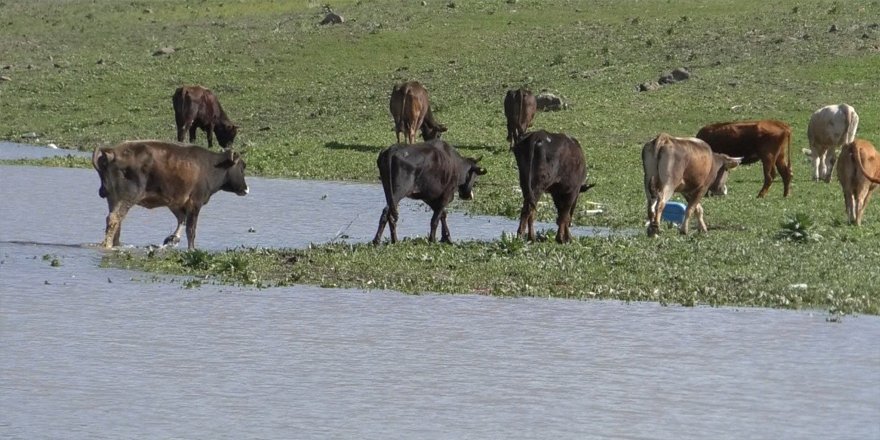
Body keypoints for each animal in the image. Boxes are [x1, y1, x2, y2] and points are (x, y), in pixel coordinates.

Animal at [91, 141, 249, 251]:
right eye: (242, 167)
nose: (246, 189)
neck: (210, 166)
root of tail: (112, 153)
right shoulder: (195, 202)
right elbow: (191, 229)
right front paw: (191, 249)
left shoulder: (176, 202)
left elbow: (181, 219)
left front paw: (173, 239)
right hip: (126, 197)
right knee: (113, 219)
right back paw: (108, 246)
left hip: (113, 198)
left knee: (117, 221)